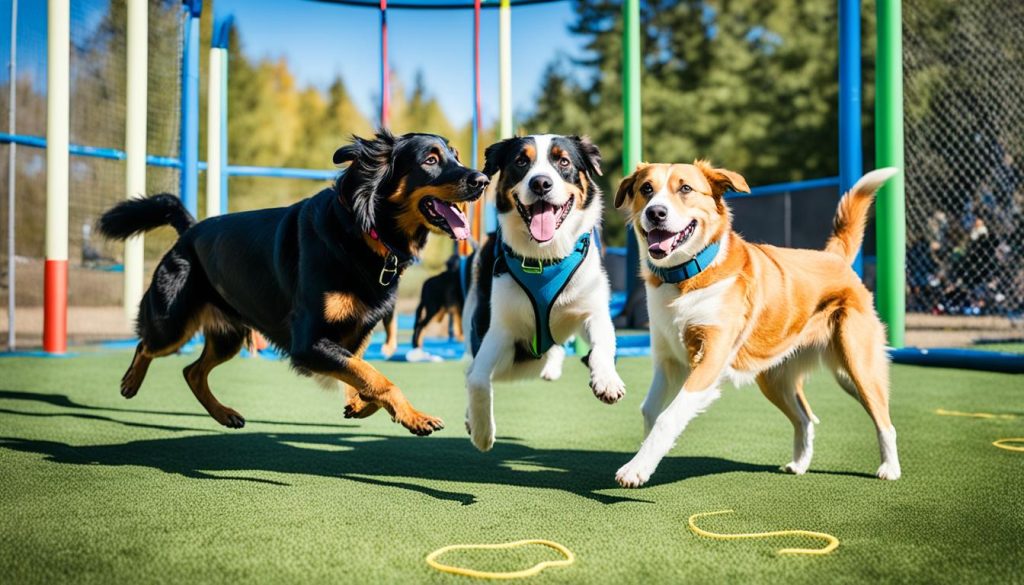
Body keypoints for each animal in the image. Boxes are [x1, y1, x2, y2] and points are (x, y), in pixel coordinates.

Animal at [99, 131, 487, 434]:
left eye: (456, 155)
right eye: (431, 159)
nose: (482, 180)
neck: (363, 231)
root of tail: (189, 232)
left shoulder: (356, 334)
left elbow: (364, 374)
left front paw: (360, 405)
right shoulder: (309, 342)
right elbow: (378, 378)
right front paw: (412, 415)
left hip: (227, 337)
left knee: (191, 371)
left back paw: (224, 414)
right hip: (173, 325)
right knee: (146, 345)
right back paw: (130, 382)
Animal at [610, 158, 901, 485]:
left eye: (685, 188)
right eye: (646, 189)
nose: (655, 212)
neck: (686, 276)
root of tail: (833, 257)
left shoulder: (711, 360)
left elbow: (667, 416)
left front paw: (635, 469)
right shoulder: (668, 361)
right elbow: (650, 411)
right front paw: (649, 459)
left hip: (856, 367)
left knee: (884, 419)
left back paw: (890, 468)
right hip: (774, 378)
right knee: (805, 418)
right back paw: (799, 464)